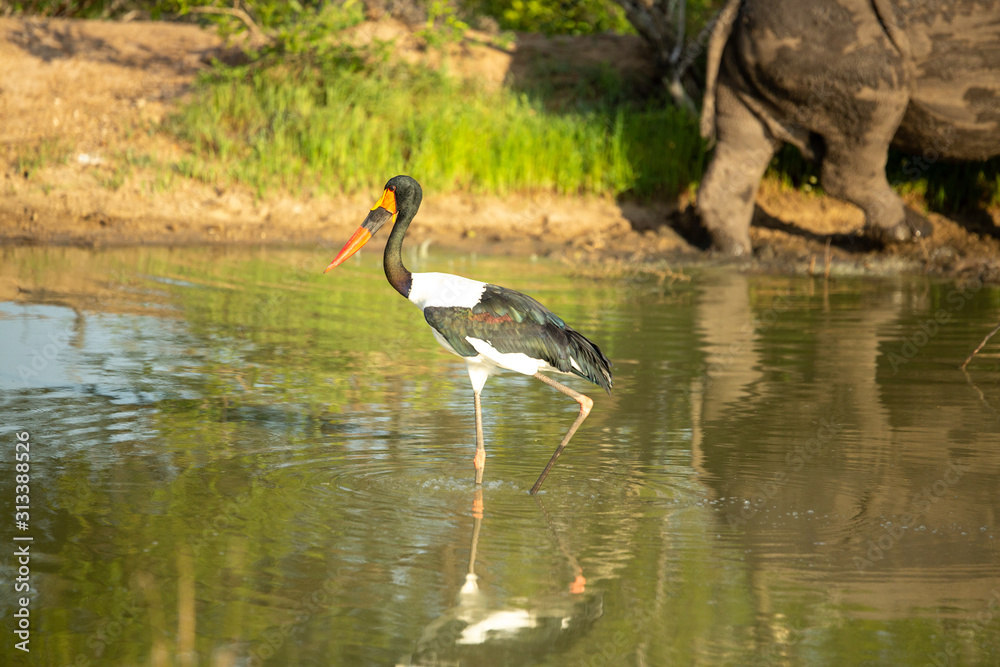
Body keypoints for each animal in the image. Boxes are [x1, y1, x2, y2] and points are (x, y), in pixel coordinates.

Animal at [697, 0, 1000, 255]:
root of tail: (737, 6)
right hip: (831, 34)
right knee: (879, 95)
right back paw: (909, 232)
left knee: (746, 139)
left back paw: (739, 254)